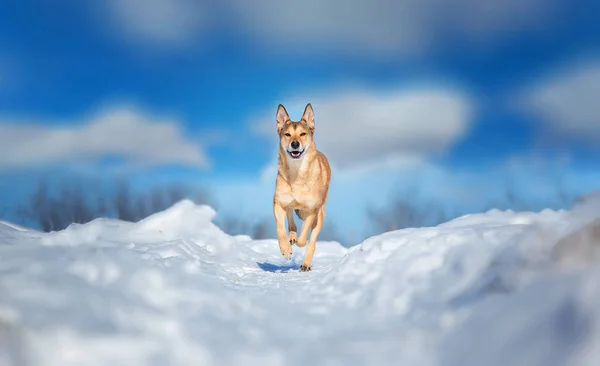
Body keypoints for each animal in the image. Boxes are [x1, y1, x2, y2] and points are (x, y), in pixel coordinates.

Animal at [274, 103, 332, 272]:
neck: (297, 173)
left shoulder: (312, 209)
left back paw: (305, 263)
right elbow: (280, 227)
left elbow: (305, 234)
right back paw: (292, 237)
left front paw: (301, 241)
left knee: (312, 240)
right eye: (287, 134)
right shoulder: (279, 202)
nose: (295, 143)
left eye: (303, 134)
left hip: (320, 214)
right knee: (290, 216)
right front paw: (286, 248)